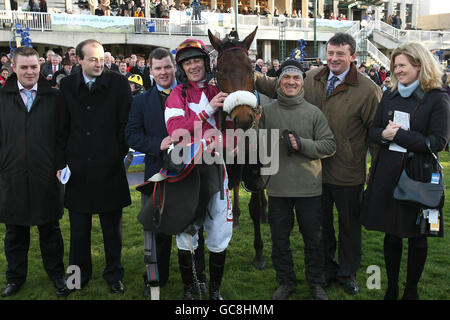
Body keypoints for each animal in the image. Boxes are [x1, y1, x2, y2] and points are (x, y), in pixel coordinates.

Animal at [207, 26, 268, 270]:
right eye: (221, 71)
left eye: (251, 68)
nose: (243, 118)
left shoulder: (256, 170)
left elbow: (256, 207)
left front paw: (259, 252)